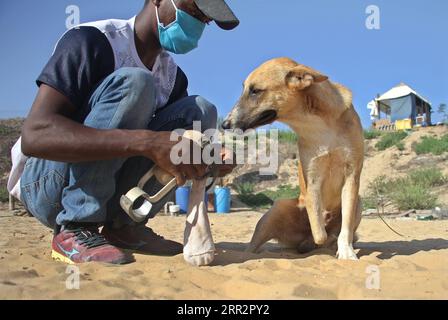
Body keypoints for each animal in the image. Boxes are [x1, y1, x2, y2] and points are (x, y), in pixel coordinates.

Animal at [223, 57, 364, 258]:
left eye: (255, 91)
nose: (224, 124)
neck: (319, 124)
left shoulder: (351, 175)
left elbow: (345, 228)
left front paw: (346, 251)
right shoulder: (312, 179)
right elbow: (319, 232)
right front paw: (321, 233)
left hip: (359, 202)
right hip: (275, 210)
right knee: (253, 248)